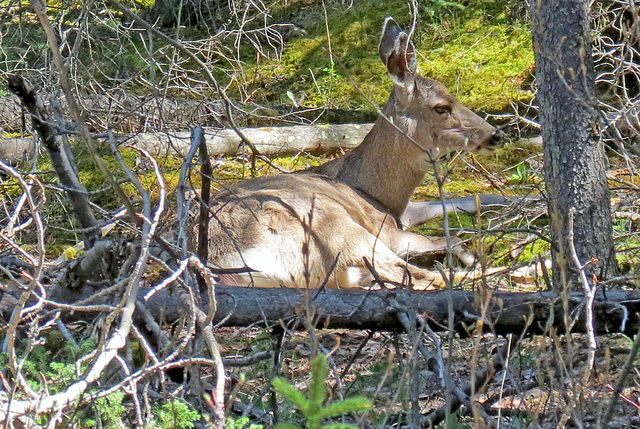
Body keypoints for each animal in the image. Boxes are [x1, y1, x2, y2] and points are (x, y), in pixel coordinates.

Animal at [202, 18, 502, 290]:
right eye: (441, 107)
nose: (495, 134)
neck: (374, 191)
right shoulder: (386, 228)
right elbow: (446, 240)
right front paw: (472, 252)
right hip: (333, 226)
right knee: (417, 275)